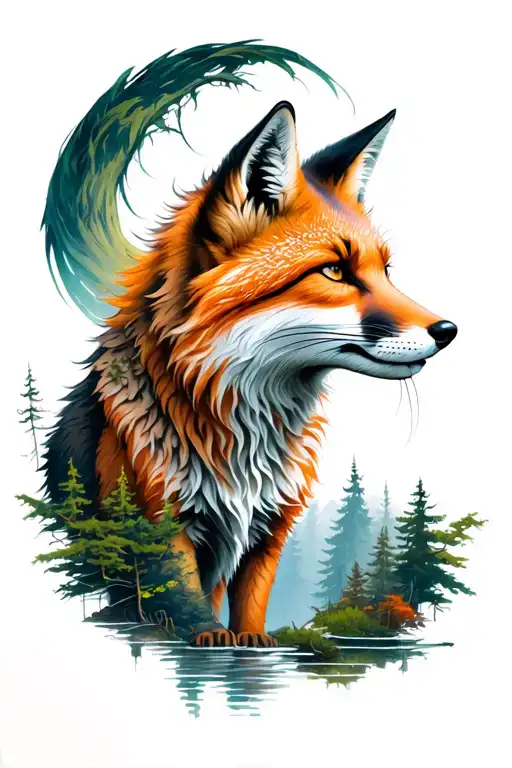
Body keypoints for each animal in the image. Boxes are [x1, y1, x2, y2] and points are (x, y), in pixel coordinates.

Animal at [42, 41, 457, 648]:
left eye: (385, 271)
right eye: (335, 271)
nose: (448, 331)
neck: (242, 441)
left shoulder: (267, 529)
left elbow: (251, 607)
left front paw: (251, 642)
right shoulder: (164, 525)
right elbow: (182, 602)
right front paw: (205, 637)